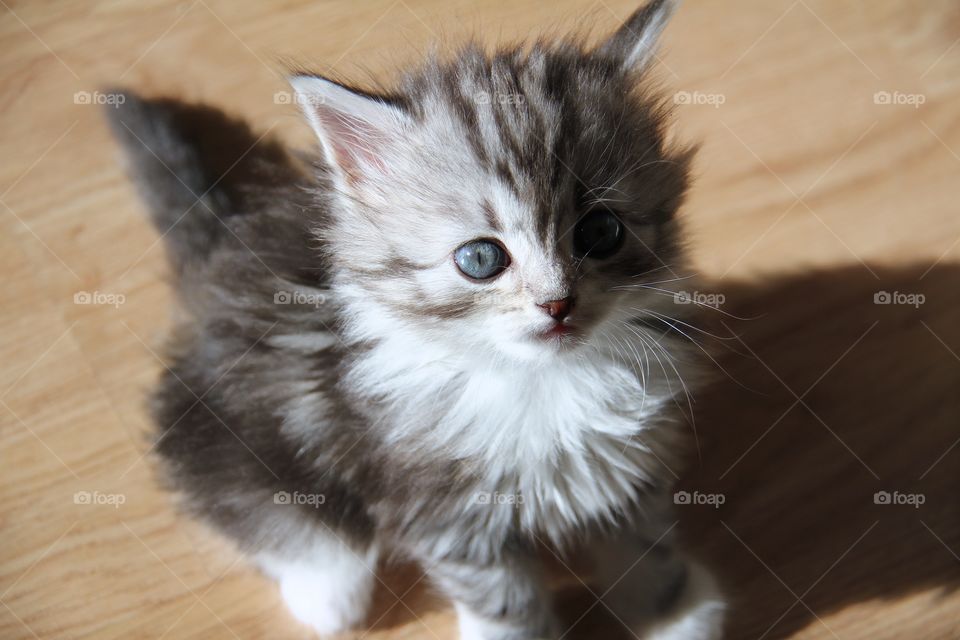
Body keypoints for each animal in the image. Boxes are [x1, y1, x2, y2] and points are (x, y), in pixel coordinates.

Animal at [107, 0, 720, 636]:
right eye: (481, 259)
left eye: (601, 232)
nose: (558, 304)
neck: (540, 381)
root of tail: (225, 246)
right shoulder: (444, 510)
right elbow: (504, 600)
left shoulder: (629, 469)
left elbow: (646, 548)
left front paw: (673, 615)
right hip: (234, 426)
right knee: (260, 509)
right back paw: (327, 591)